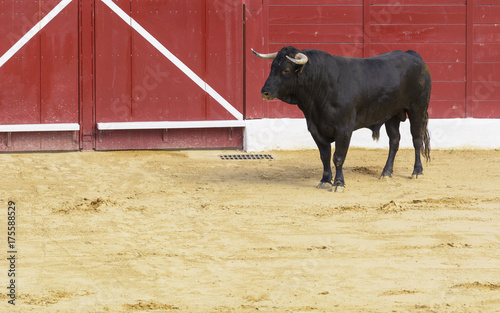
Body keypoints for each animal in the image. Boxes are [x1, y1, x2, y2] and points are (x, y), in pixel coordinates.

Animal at [252, 45, 432, 191]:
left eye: (286, 70)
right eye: (272, 67)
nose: (264, 92)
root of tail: (413, 55)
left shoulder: (344, 130)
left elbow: (338, 157)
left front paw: (339, 183)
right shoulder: (315, 128)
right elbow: (324, 156)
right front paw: (325, 180)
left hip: (418, 108)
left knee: (417, 139)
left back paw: (417, 171)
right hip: (392, 115)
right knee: (394, 141)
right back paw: (386, 172)